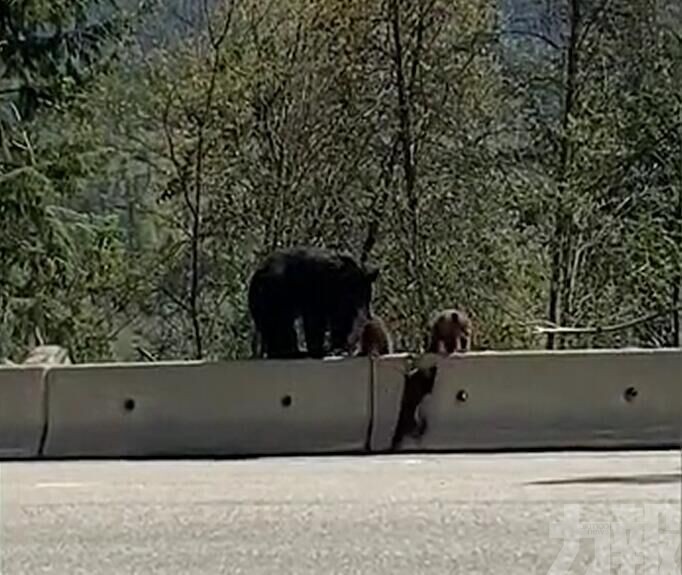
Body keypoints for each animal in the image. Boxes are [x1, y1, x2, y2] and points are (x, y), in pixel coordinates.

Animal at [248, 248, 380, 360]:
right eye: (353, 295)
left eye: (368, 297)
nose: (367, 316)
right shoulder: (315, 289)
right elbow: (315, 321)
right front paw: (319, 350)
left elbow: (339, 321)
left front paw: (338, 347)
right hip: (273, 296)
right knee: (280, 325)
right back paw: (290, 352)